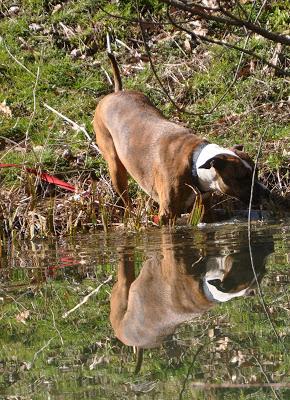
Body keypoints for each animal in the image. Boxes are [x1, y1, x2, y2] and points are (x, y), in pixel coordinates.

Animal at [93, 52, 268, 222]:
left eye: (256, 171)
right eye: (242, 177)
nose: (267, 194)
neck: (195, 162)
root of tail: (116, 93)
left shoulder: (205, 212)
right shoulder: (167, 216)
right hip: (115, 168)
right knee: (125, 198)